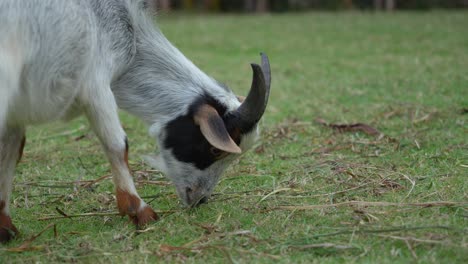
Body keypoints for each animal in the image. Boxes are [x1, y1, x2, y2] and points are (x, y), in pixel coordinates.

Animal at [0, 0, 270, 242]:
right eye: (215, 150)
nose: (200, 199)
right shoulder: (96, 85)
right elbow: (118, 145)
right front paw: (139, 211)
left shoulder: (17, 110)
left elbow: (11, 151)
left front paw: (6, 227)